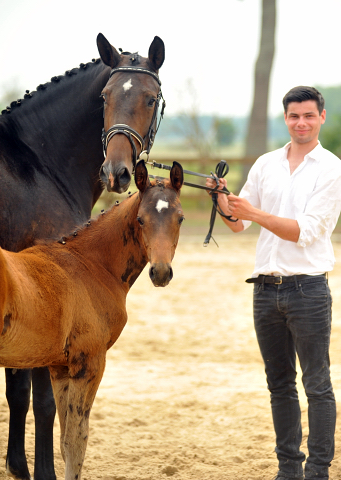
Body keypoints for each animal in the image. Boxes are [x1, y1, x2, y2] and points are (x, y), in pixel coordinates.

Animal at [0, 31, 165, 478]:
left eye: (150, 99)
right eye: (105, 96)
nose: (117, 172)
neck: (39, 164)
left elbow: (18, 390)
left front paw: (17, 465)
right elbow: (41, 400)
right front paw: (41, 470)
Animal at [0, 160, 183, 480]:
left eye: (180, 219)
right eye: (141, 220)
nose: (161, 273)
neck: (88, 265)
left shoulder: (60, 368)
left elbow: (65, 440)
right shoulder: (90, 363)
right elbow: (77, 441)